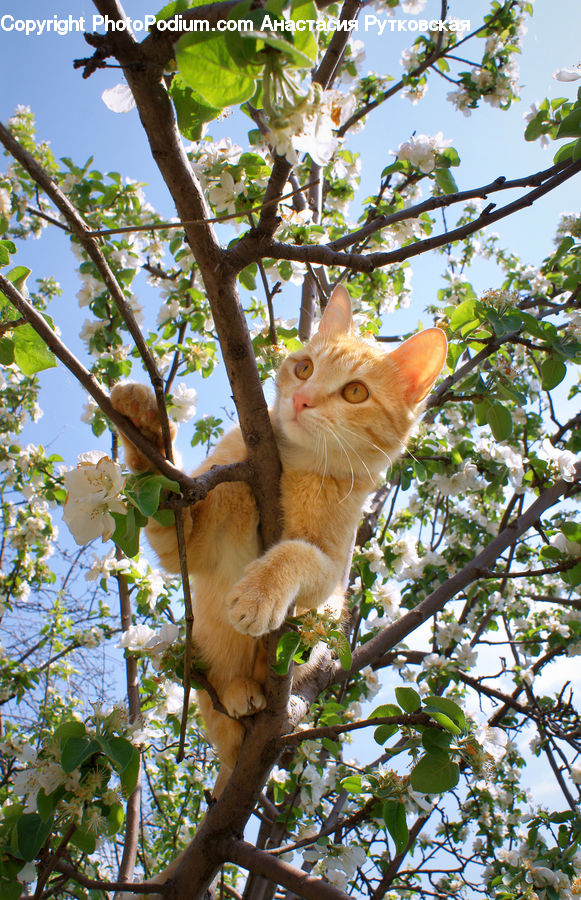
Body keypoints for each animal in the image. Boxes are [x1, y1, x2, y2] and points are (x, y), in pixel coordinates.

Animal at [111, 284, 446, 800]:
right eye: (304, 367)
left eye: (355, 392)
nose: (302, 399)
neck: (290, 467)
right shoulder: (190, 539)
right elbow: (167, 497)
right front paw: (146, 421)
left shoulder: (332, 574)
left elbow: (296, 553)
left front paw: (258, 592)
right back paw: (236, 693)